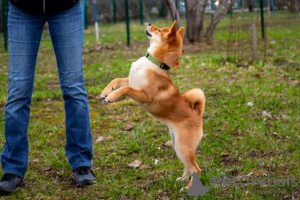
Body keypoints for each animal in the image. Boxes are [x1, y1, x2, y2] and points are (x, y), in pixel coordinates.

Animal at [99, 20, 205, 186]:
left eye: (159, 30)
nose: (148, 23)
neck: (155, 63)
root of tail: (197, 114)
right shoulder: (131, 80)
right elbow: (117, 80)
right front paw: (106, 91)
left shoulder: (144, 95)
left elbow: (125, 89)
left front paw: (112, 96)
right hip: (177, 145)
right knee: (189, 168)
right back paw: (182, 180)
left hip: (183, 147)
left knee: (197, 169)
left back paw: (188, 188)